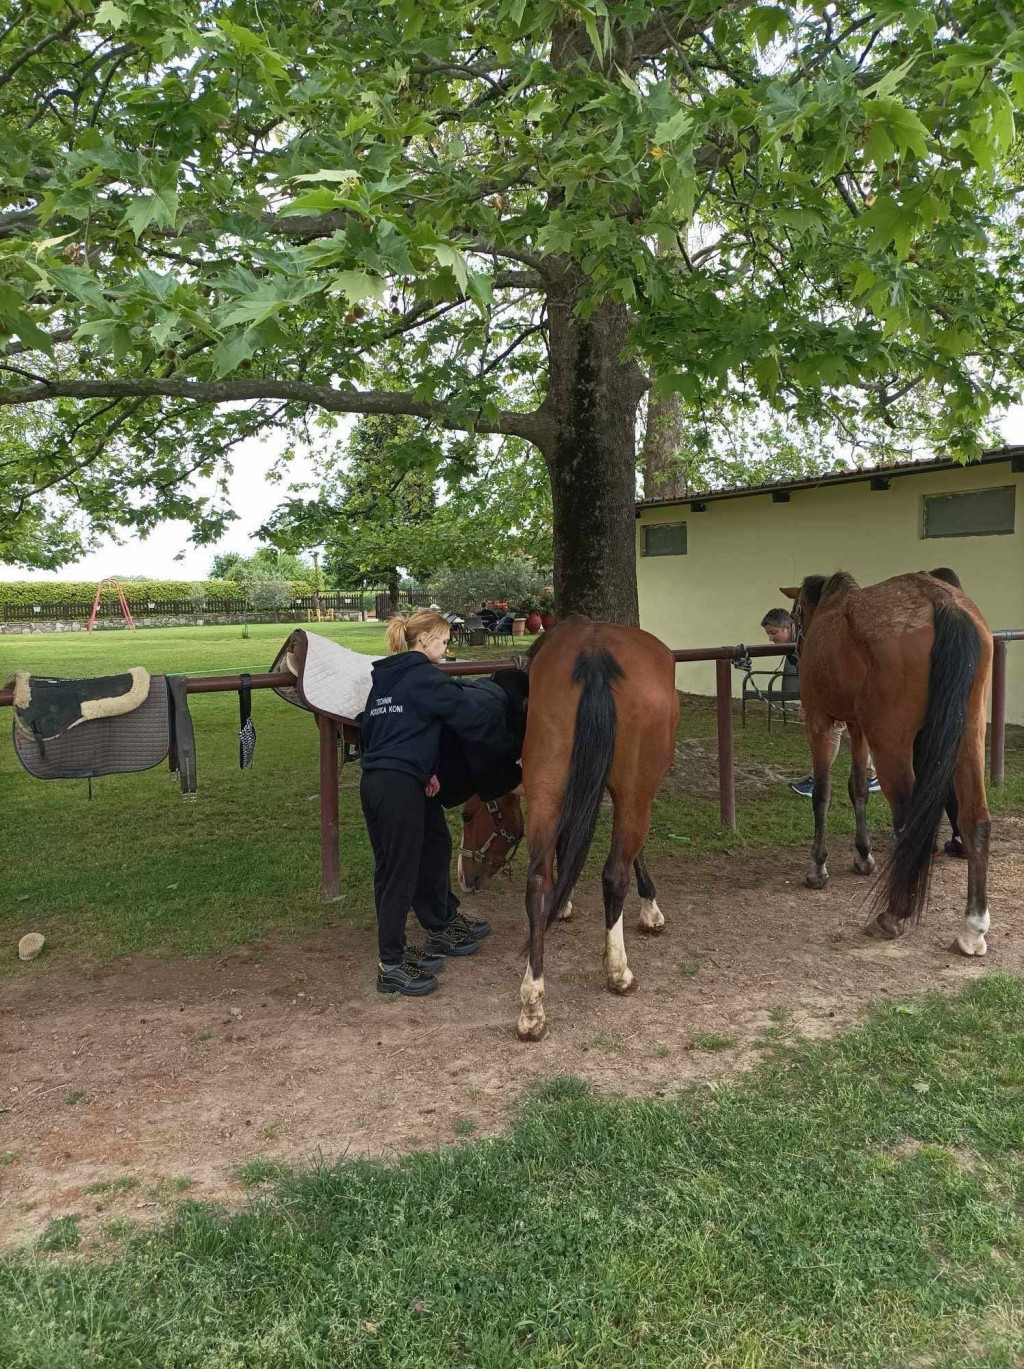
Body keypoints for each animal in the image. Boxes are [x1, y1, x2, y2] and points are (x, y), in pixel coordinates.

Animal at [459, 615, 679, 1041]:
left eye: (467, 815)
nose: (464, 877)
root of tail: (594, 654)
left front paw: (563, 902)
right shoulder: (631, 794)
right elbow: (632, 854)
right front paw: (650, 909)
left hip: (547, 784)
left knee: (537, 882)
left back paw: (532, 1004)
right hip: (634, 789)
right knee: (614, 873)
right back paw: (618, 972)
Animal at [781, 571, 993, 956]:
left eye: (797, 614)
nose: (795, 651)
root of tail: (941, 601)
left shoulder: (820, 721)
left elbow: (823, 794)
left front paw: (818, 866)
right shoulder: (857, 727)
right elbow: (859, 789)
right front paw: (863, 856)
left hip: (890, 743)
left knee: (910, 820)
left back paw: (894, 913)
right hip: (968, 736)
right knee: (975, 821)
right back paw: (973, 928)